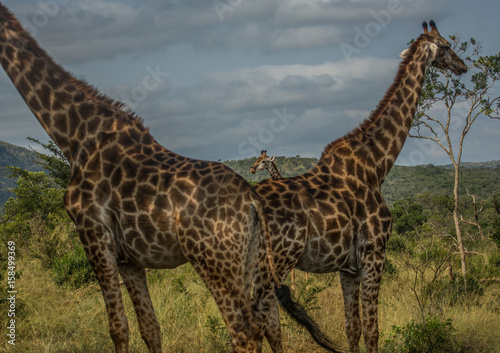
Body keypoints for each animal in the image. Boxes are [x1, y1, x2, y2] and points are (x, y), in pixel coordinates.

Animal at [0, 4, 282, 350]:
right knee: (270, 323)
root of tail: (252, 201)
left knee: (244, 331)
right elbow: (150, 327)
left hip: (215, 261)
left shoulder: (94, 237)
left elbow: (118, 327)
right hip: (253, 261)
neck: (77, 138)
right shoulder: (128, 258)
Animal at [252, 20, 466, 350]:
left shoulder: (347, 268)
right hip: (277, 261)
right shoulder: (374, 254)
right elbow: (372, 329)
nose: (462, 66)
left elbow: (352, 329)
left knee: (267, 324)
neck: (376, 165)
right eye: (445, 45)